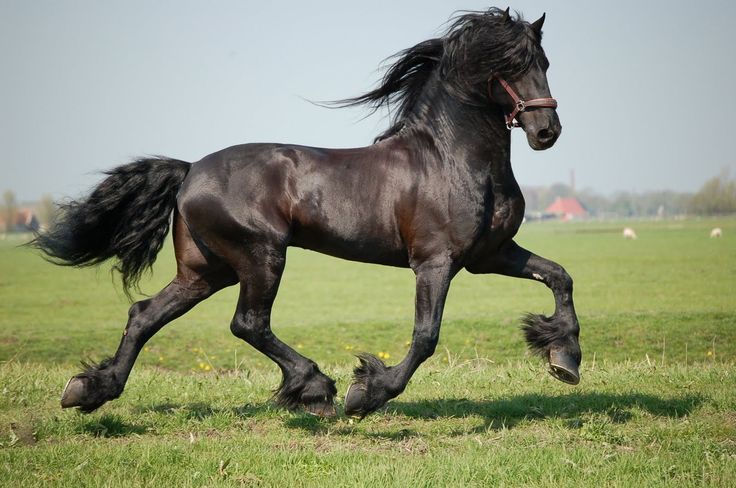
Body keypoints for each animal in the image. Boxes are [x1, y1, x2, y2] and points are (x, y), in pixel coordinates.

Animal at [31, 7, 580, 418]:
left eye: (545, 61)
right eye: (506, 65)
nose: (546, 132)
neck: (451, 158)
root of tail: (189, 171)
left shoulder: (490, 254)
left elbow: (559, 276)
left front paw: (564, 357)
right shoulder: (435, 262)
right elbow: (425, 336)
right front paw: (367, 394)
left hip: (206, 270)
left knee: (145, 315)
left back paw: (89, 390)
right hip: (260, 256)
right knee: (247, 323)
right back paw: (315, 387)